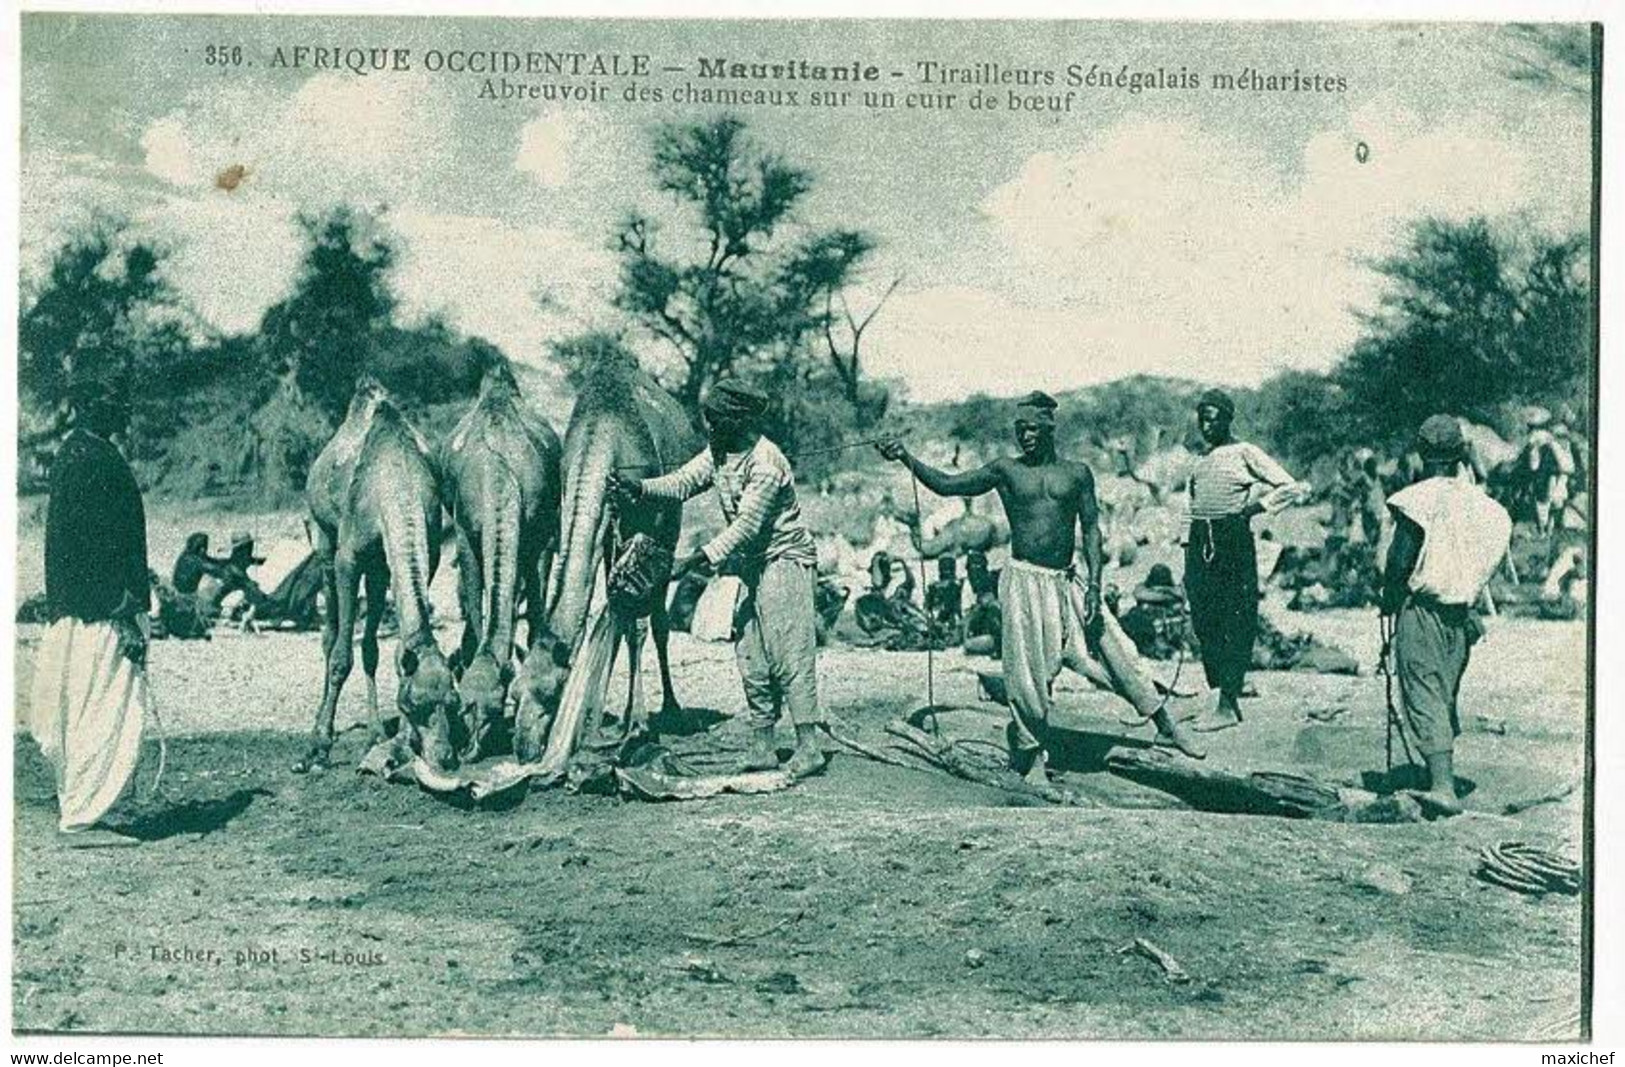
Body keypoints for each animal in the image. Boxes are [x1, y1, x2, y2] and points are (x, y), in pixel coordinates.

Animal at [292, 376, 455, 773]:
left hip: (379, 568)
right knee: (330, 634)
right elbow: (341, 657)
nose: (445, 757)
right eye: (417, 706)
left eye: (452, 702)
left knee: (367, 645)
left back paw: (372, 731)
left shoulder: (426, 557)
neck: (396, 483)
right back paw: (321, 732)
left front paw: (387, 740)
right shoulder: (349, 558)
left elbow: (386, 650)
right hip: (322, 539)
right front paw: (318, 748)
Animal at [442, 360, 562, 756]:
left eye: (491, 707)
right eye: (462, 704)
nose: (468, 748)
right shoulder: (464, 533)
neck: (499, 473)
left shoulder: (541, 535)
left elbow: (537, 611)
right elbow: (479, 608)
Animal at [520, 349, 698, 750]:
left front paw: (638, 725)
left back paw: (672, 709)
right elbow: (615, 616)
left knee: (659, 621)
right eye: (515, 687)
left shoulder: (646, 529)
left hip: (671, 522)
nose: (523, 746)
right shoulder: (605, 532)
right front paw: (600, 725)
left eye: (551, 694)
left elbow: (637, 627)